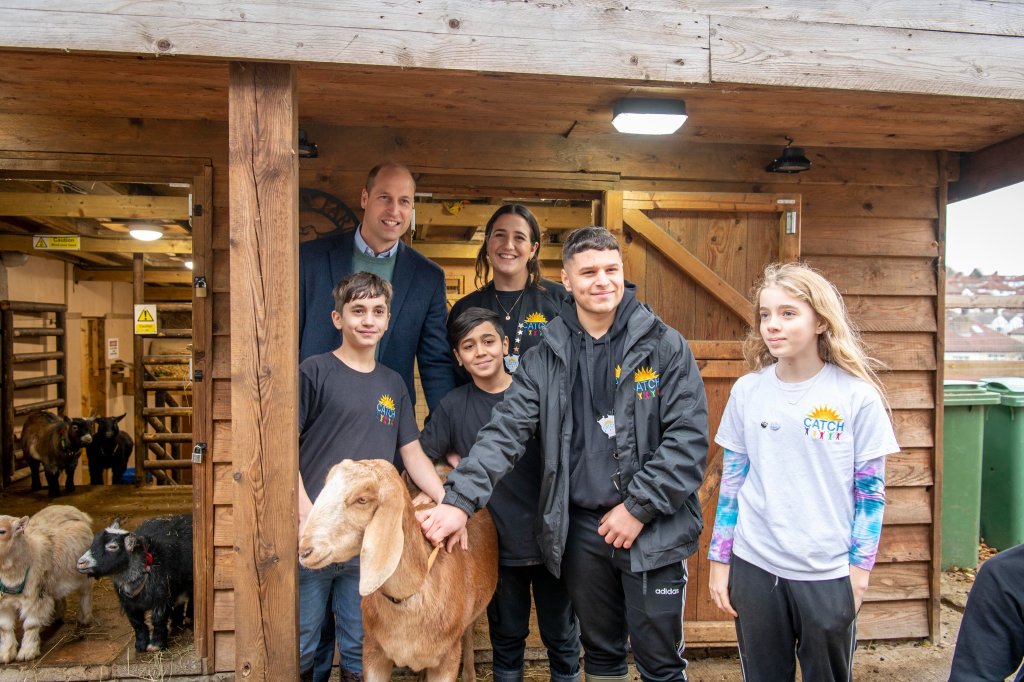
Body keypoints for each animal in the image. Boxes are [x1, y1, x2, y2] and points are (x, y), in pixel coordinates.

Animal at [0, 504, 94, 663]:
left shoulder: (35, 598)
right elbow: (5, 628)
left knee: (85, 594)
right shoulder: (4, 603)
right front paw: (6, 654)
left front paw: (27, 652)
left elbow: (30, 625)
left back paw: (84, 618)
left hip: (84, 573)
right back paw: (56, 615)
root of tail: (76, 511)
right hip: (54, 580)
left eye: (2, 531)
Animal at [77, 515, 193, 652]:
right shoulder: (129, 604)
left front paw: (156, 645)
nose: (81, 563)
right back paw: (176, 622)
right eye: (93, 543)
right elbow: (137, 624)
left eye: (113, 547)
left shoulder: (162, 598)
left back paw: (189, 618)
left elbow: (158, 620)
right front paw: (140, 645)